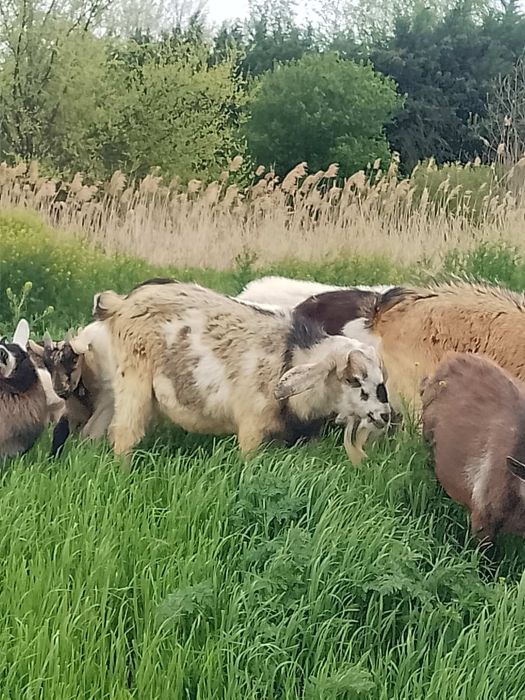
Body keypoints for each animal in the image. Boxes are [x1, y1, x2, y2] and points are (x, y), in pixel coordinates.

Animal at [91, 280, 391, 463]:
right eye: (353, 379)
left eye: (381, 379)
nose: (385, 415)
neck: (291, 356)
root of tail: (120, 303)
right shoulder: (252, 429)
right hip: (132, 381)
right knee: (124, 434)